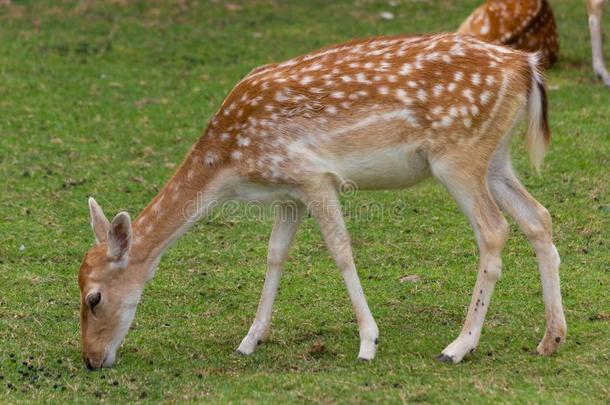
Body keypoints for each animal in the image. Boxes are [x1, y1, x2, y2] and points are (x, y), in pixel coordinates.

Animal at [77, 34, 564, 370]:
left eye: (94, 298)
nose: (91, 360)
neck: (230, 164)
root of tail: (526, 66)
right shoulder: (288, 192)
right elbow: (275, 254)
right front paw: (250, 340)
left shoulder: (314, 176)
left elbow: (340, 249)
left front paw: (368, 342)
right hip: (495, 158)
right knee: (538, 217)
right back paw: (551, 338)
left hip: (458, 155)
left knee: (494, 230)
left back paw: (458, 346)